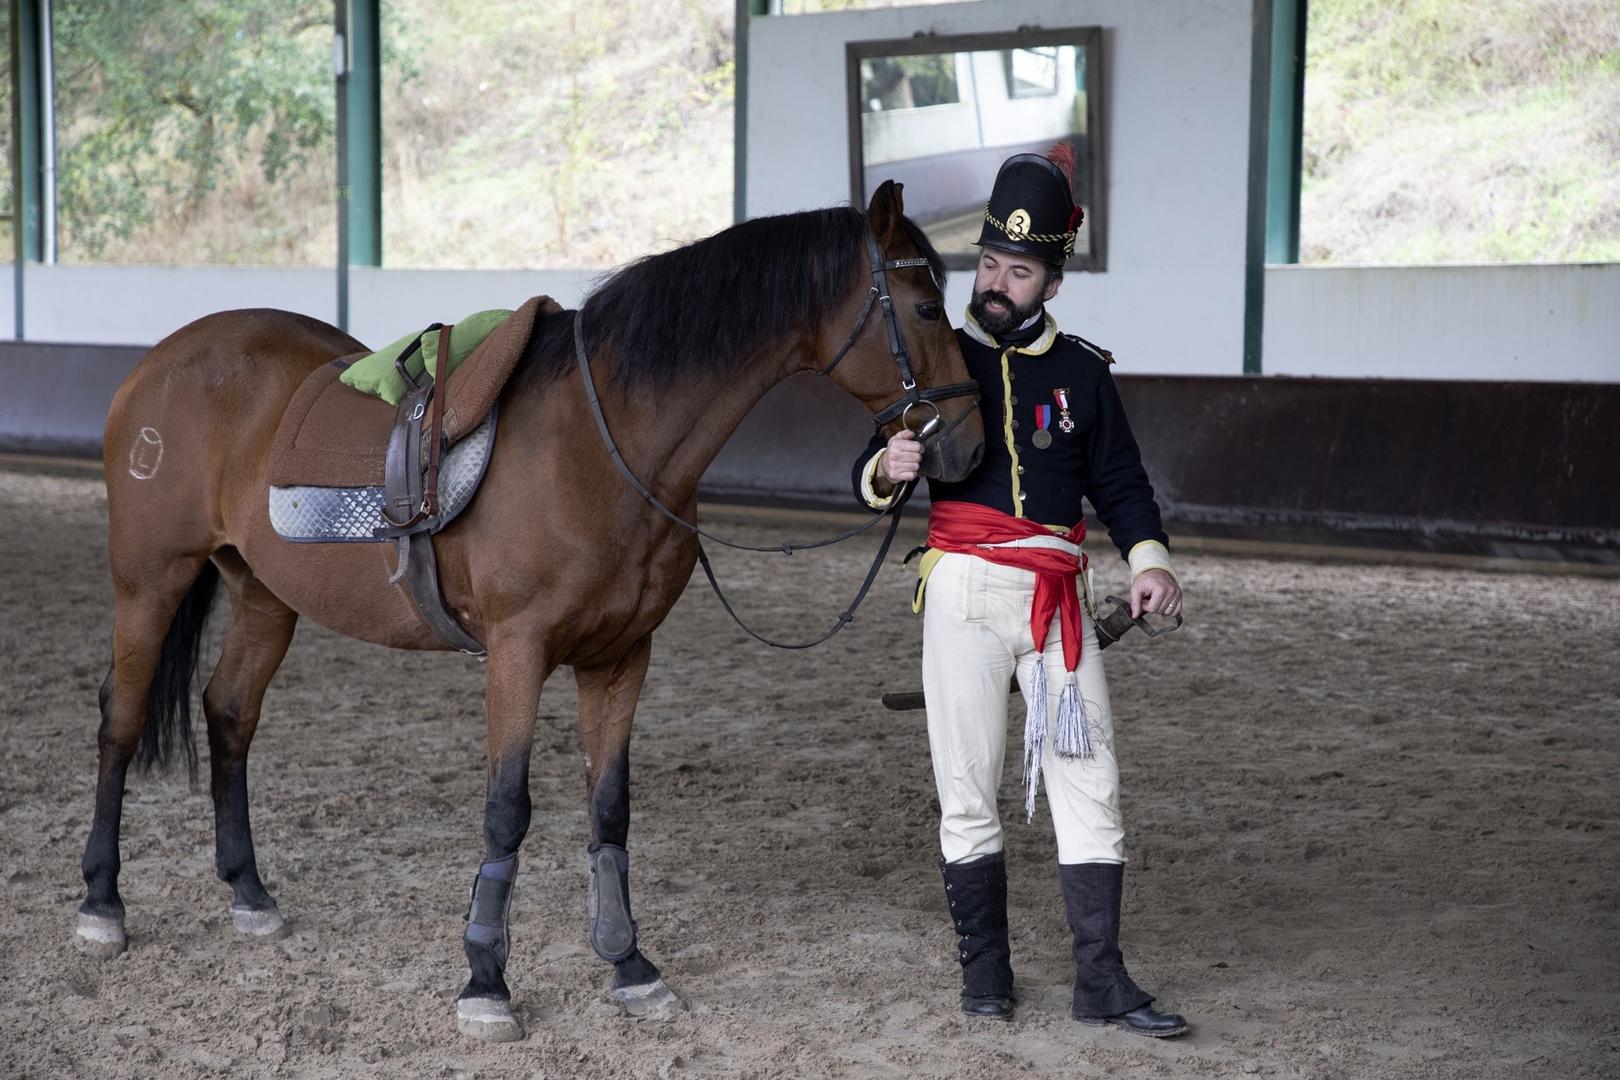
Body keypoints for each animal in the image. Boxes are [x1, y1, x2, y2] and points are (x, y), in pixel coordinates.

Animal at [76, 183, 984, 1036]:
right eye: (926, 306)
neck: (602, 440)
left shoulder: (621, 656)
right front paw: (486, 980)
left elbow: (609, 808)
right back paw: (101, 903)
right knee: (122, 718)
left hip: (264, 595)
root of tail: (160, 363)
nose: (967, 443)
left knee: (229, 713)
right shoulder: (518, 650)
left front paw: (629, 964)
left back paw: (249, 893)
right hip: (149, 583)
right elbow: (507, 809)